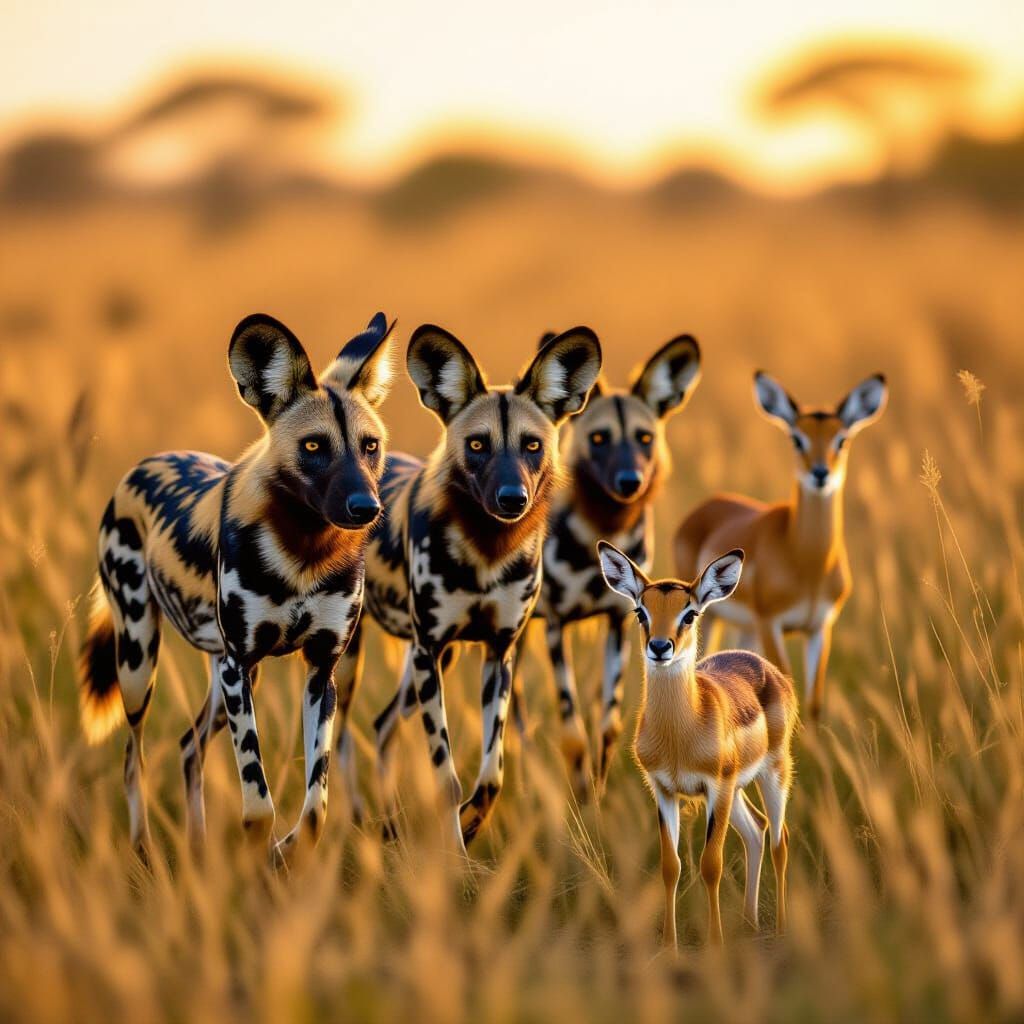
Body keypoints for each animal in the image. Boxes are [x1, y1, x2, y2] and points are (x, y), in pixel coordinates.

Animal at [598, 542, 797, 947]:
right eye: (640, 611)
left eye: (689, 613)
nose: (660, 647)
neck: (682, 730)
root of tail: (766, 667)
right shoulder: (663, 790)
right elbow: (670, 866)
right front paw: (670, 947)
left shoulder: (715, 787)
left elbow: (710, 865)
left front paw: (715, 944)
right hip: (735, 791)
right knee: (756, 830)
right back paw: (750, 923)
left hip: (771, 774)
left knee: (779, 839)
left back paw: (781, 929)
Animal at [674, 372, 888, 718]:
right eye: (797, 438)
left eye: (841, 440)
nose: (820, 474)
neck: (807, 562)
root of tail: (708, 504)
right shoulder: (771, 623)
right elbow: (788, 688)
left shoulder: (819, 628)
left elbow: (813, 704)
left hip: (745, 629)